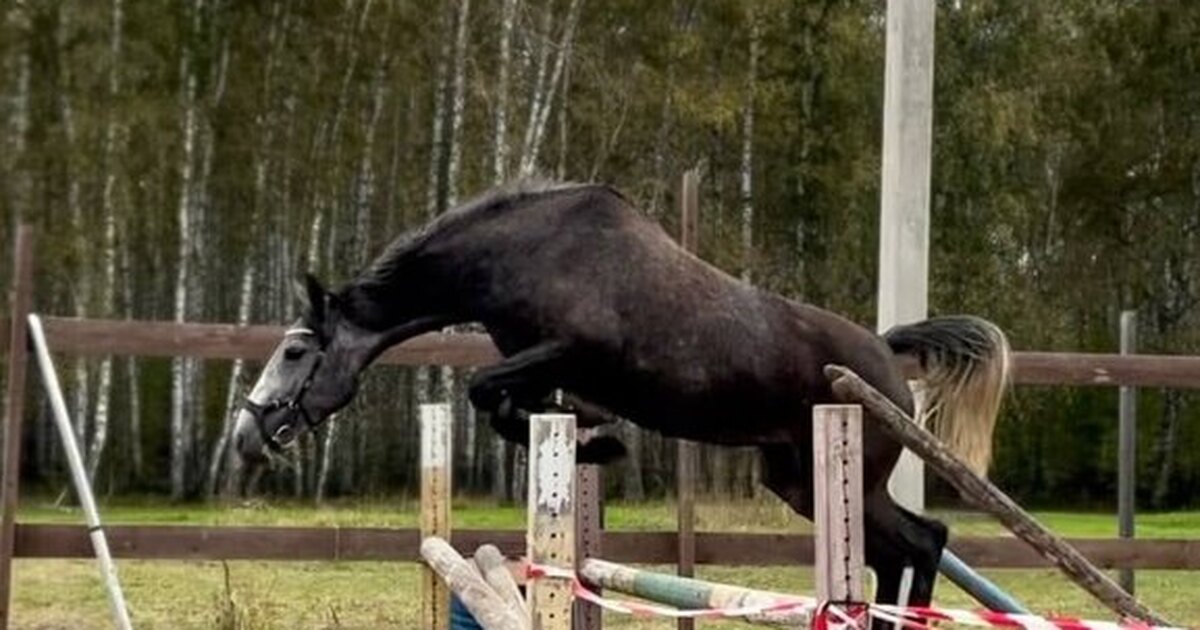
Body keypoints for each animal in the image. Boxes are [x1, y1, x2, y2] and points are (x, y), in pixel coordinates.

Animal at [234, 180, 1010, 611]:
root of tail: (886, 355)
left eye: (295, 352)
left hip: (845, 476)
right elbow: (508, 404)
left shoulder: (571, 351)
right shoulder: (538, 365)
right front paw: (591, 436)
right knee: (901, 549)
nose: (246, 437)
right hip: (802, 483)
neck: (519, 258)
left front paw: (600, 440)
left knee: (925, 541)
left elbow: (487, 391)